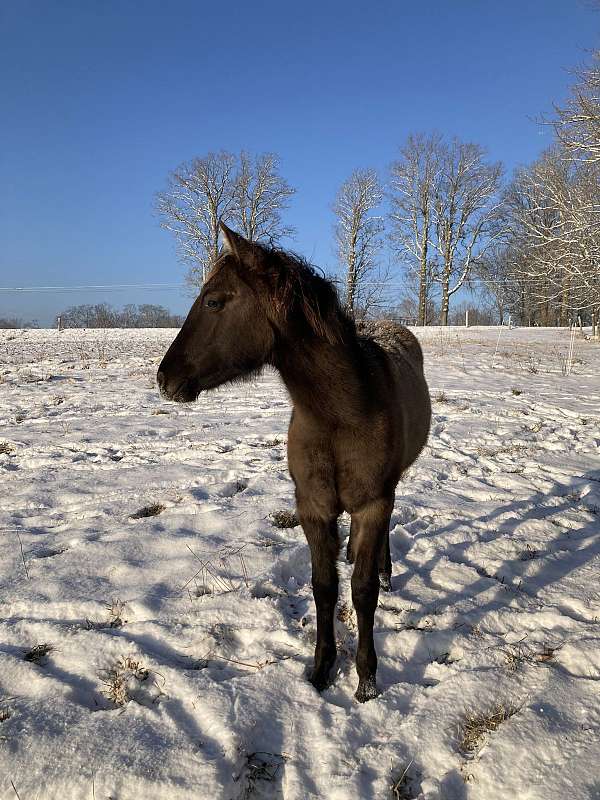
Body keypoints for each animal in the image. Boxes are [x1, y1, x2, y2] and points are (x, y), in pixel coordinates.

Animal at [157, 223, 431, 702]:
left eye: (214, 301)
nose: (164, 379)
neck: (341, 417)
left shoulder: (373, 503)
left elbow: (361, 592)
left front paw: (366, 678)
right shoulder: (313, 507)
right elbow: (324, 587)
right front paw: (321, 669)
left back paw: (384, 570)